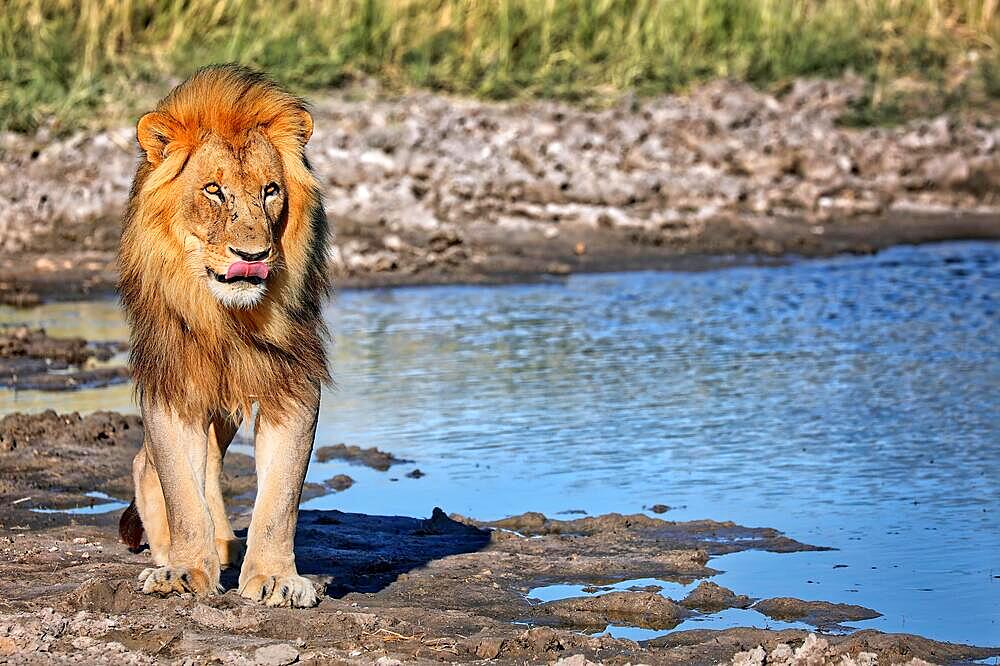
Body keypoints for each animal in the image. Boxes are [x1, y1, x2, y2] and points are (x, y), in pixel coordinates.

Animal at [116, 65, 328, 604]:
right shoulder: (172, 383)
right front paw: (184, 570)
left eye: (270, 190)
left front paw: (275, 578)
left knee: (211, 461)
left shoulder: (291, 382)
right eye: (214, 190)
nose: (252, 256)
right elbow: (180, 488)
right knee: (149, 464)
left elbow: (280, 498)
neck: (225, 319)